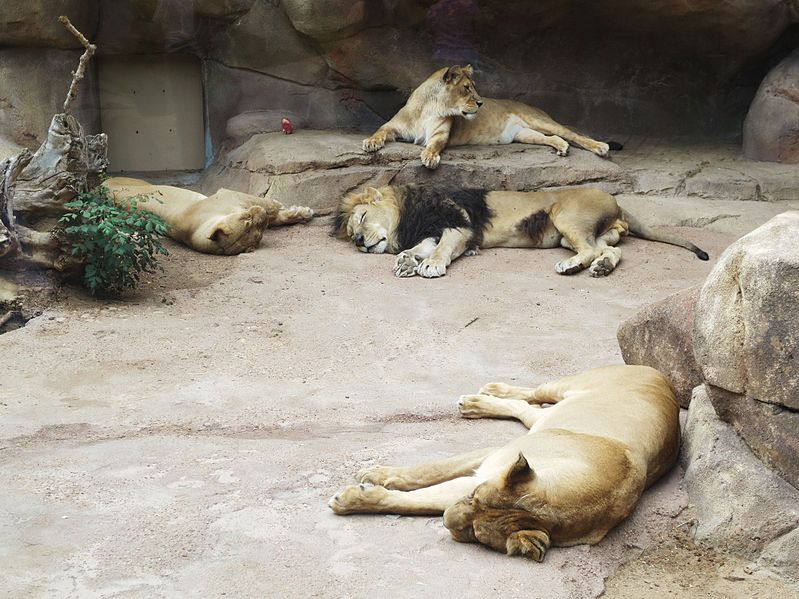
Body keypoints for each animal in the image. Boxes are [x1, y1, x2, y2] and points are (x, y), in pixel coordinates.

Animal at [105, 176, 316, 255]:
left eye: (259, 232)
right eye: (249, 224)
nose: (259, 214)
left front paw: (301, 212)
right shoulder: (227, 195)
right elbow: (270, 207)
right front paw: (298, 210)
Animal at [328, 364, 680, 564]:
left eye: (474, 534)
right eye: (474, 498)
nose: (446, 521)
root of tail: (663, 376)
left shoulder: (481, 475)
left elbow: (419, 502)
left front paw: (357, 495)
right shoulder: (491, 460)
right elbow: (429, 472)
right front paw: (375, 475)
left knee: (528, 410)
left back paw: (477, 402)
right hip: (564, 387)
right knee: (532, 394)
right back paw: (486, 393)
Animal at [334, 184, 708, 278]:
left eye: (362, 216)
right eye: (352, 233)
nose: (358, 241)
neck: (409, 215)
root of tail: (616, 202)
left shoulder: (459, 224)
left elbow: (440, 249)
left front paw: (431, 265)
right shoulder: (435, 229)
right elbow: (421, 246)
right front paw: (407, 260)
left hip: (565, 217)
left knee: (588, 251)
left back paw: (570, 267)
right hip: (582, 234)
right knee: (610, 251)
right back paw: (600, 267)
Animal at [362, 64, 620, 170]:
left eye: (474, 87)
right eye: (466, 88)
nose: (480, 102)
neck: (431, 107)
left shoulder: (441, 133)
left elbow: (434, 144)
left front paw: (430, 157)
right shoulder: (394, 125)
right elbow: (380, 131)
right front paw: (370, 143)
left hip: (539, 120)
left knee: (574, 134)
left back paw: (600, 147)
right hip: (524, 134)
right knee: (554, 138)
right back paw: (561, 147)